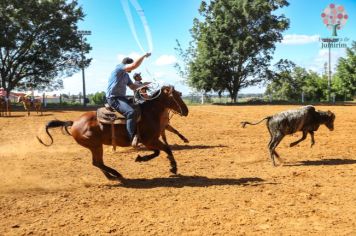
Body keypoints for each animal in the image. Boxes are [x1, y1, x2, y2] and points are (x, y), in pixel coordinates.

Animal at [36, 86, 189, 181]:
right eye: (174, 96)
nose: (186, 111)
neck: (149, 113)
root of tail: (74, 123)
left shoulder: (151, 141)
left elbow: (162, 150)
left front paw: (144, 159)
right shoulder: (150, 141)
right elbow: (164, 150)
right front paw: (172, 168)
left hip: (95, 146)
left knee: (97, 163)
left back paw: (111, 176)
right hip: (96, 146)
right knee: (97, 162)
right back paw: (116, 173)